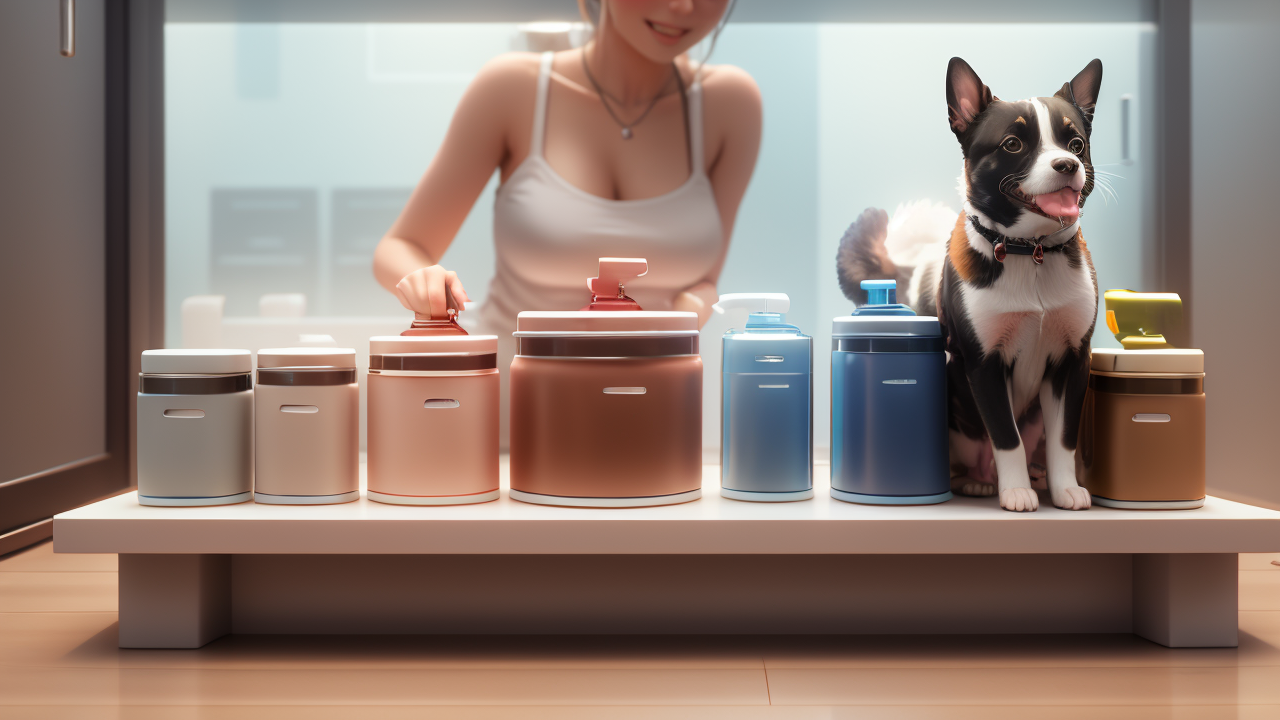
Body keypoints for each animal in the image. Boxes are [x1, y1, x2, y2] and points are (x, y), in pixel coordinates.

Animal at [834, 57, 1105, 509]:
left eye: (1076, 143)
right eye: (1012, 144)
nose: (1067, 165)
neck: (1029, 252)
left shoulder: (1072, 361)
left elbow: (1063, 439)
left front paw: (1065, 487)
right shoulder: (985, 363)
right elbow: (1006, 436)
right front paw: (1016, 492)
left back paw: (1033, 476)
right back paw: (981, 482)